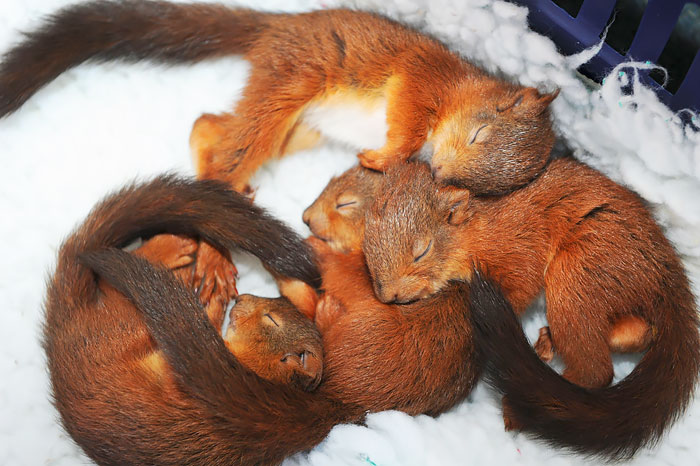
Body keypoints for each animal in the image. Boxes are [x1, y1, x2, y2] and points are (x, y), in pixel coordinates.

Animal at [0, 1, 558, 195]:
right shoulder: (421, 79)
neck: (464, 86)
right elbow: (405, 123)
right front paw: (383, 157)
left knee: (209, 124)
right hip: (290, 84)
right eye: (481, 131)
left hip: (301, 130)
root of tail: (279, 26)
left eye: (490, 186)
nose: (441, 172)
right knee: (233, 138)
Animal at [361, 160, 700, 459]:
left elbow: (520, 285)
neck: (476, 231)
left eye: (422, 251)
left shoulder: (518, 247)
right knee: (638, 332)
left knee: (597, 370)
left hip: (577, 275)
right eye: (367, 246)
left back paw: (526, 405)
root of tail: (666, 272)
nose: (387, 295)